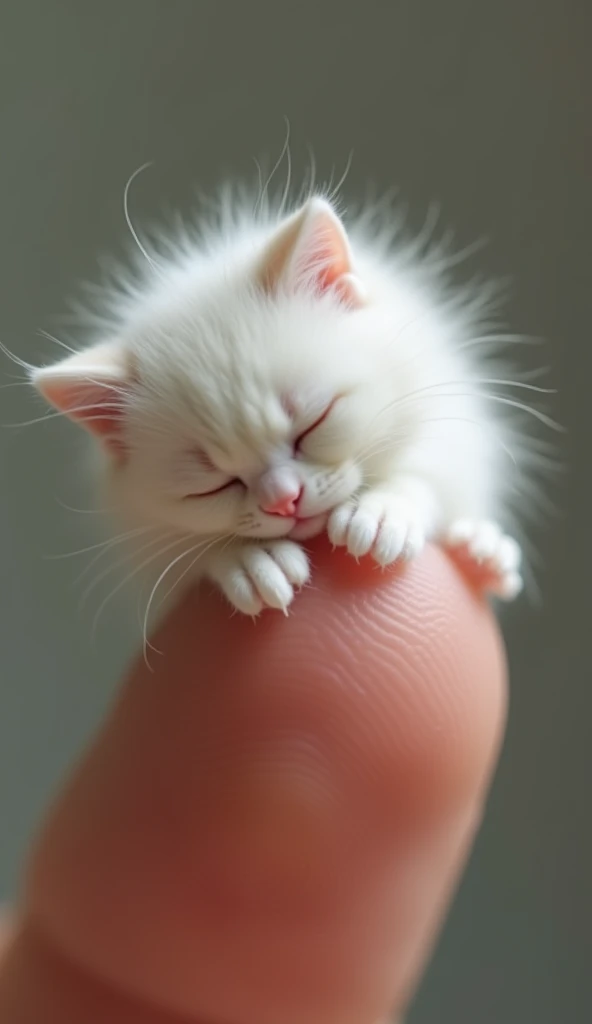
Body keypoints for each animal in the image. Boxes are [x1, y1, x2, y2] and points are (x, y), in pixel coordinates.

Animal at [29, 185, 532, 618]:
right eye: (212, 484)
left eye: (314, 423)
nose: (284, 501)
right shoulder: (141, 531)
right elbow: (179, 555)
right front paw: (246, 560)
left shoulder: (439, 388)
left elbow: (433, 459)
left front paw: (385, 507)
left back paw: (482, 553)